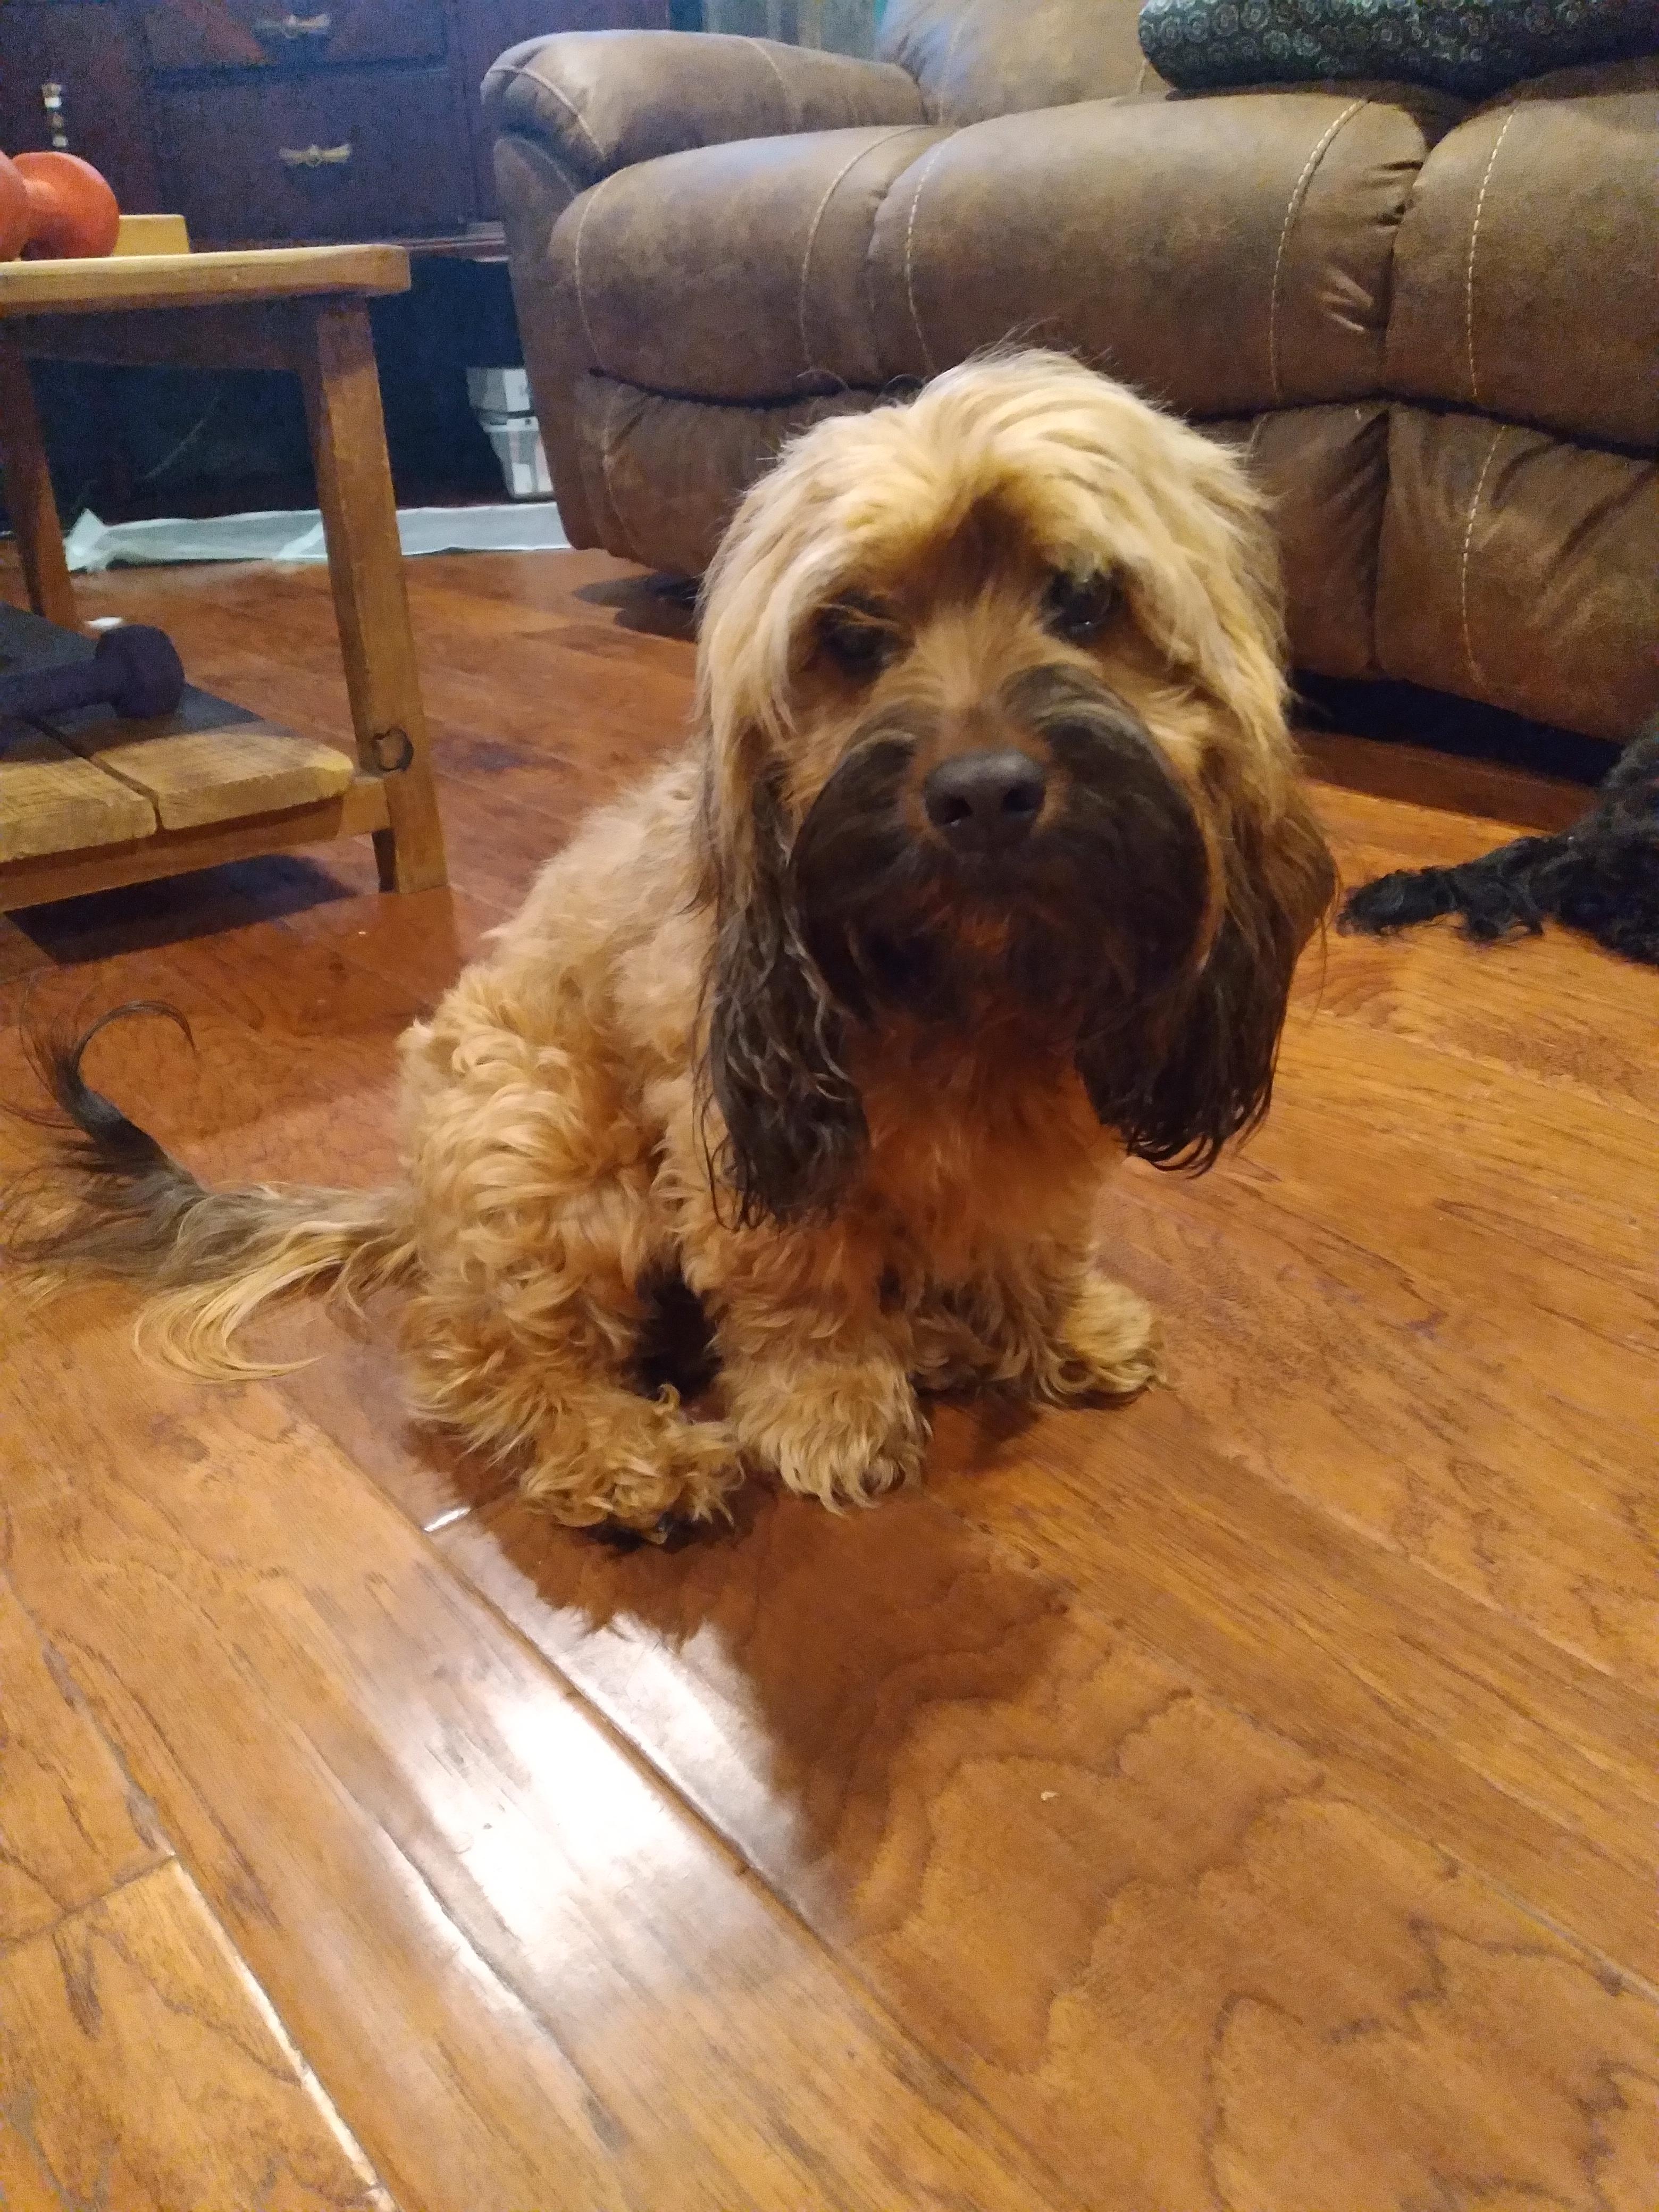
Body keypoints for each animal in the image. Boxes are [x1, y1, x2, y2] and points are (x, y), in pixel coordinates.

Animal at [4, 351, 1335, 1534]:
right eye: (853, 635)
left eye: (1084, 598)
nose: (984, 795)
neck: (968, 974)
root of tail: (413, 1203)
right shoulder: (738, 1143)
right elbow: (800, 1288)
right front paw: (830, 1408)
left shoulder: (1042, 1144)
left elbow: (1031, 1238)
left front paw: (1052, 1326)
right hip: (541, 1144)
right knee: (478, 1353)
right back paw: (624, 1453)